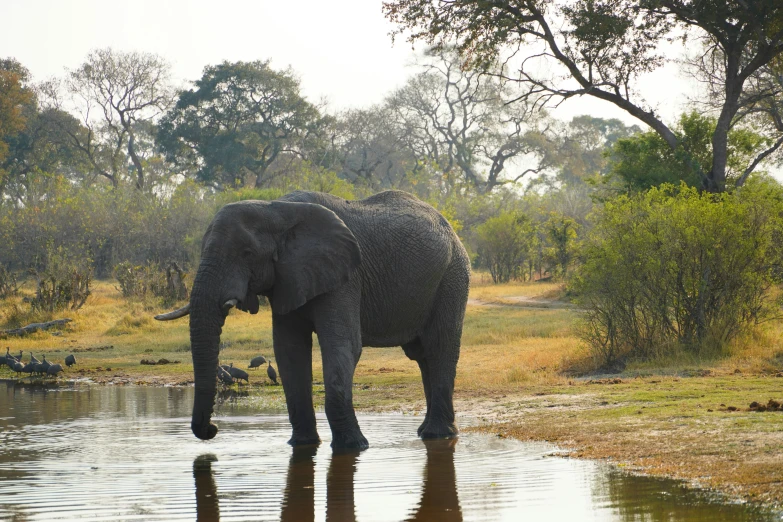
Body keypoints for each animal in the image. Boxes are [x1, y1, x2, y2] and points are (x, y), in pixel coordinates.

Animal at [156, 189, 468, 448]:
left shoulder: (345, 276)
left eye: (247, 253)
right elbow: (289, 350)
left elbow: (342, 345)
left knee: (438, 348)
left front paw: (353, 447)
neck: (276, 210)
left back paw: (437, 435)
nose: (212, 430)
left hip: (453, 276)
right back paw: (429, 432)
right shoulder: (287, 277)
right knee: (422, 355)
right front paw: (302, 445)